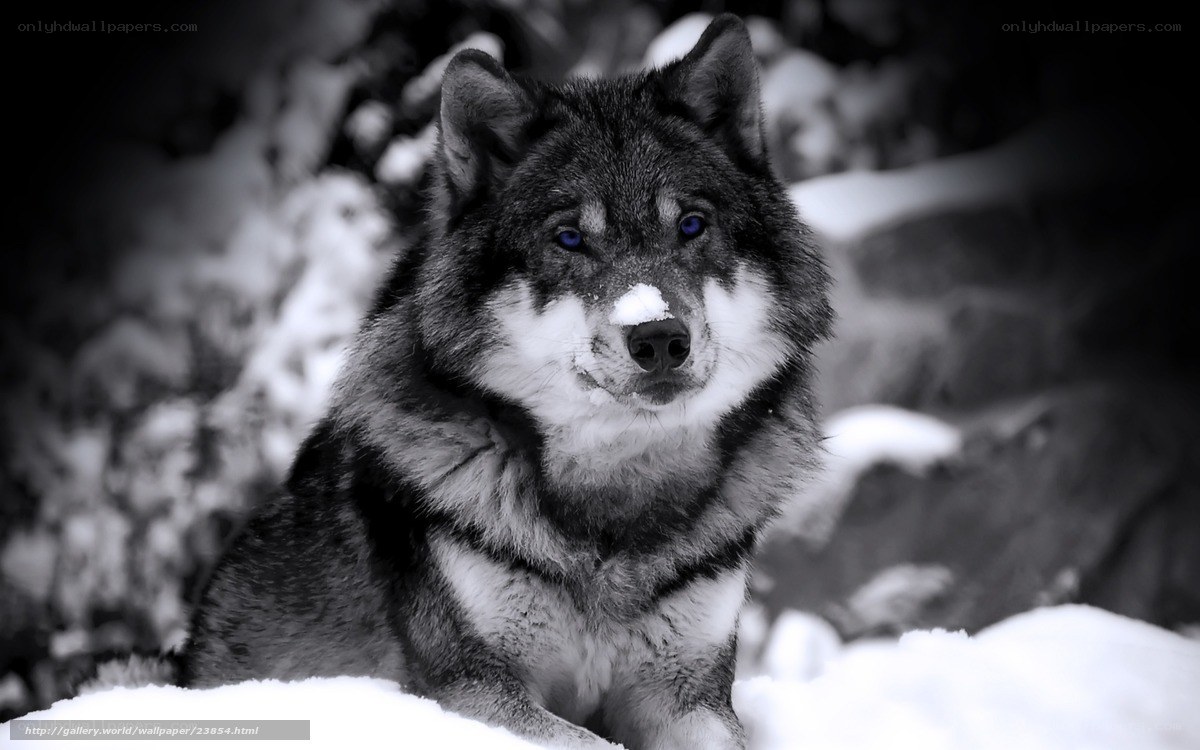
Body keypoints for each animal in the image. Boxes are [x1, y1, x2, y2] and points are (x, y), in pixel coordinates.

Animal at [180, 14, 831, 750]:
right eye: (569, 238)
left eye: (691, 225)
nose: (659, 337)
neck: (614, 509)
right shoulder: (472, 689)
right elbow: (588, 742)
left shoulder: (689, 697)